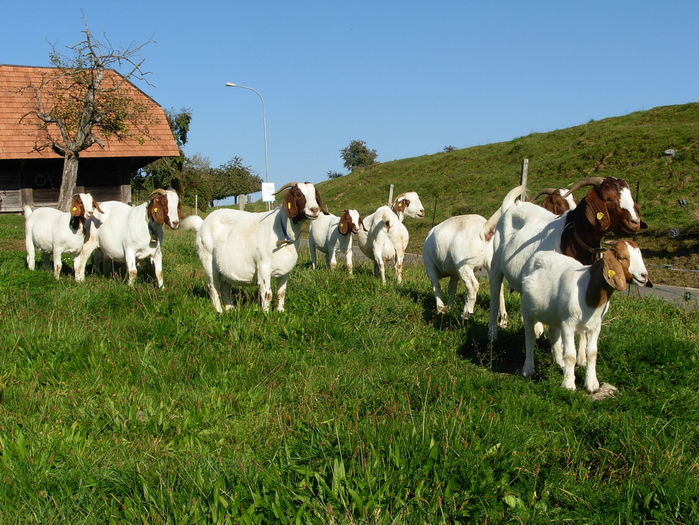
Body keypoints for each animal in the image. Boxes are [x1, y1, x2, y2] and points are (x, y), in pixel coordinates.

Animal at [191, 181, 322, 312]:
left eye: (315, 194)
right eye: (298, 194)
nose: (315, 209)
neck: (283, 231)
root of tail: (202, 224)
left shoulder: (285, 272)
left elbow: (281, 292)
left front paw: (280, 311)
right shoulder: (263, 267)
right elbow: (267, 294)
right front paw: (266, 313)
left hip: (223, 267)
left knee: (225, 286)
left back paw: (230, 309)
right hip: (207, 260)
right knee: (212, 287)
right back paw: (219, 311)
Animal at [422, 186, 524, 318]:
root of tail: (482, 230)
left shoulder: (430, 266)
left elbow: (436, 286)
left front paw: (441, 309)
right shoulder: (454, 272)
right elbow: (451, 288)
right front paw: (449, 307)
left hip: (464, 265)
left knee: (473, 285)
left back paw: (466, 313)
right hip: (490, 263)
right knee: (498, 287)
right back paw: (503, 318)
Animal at [490, 174, 648, 342]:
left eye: (630, 195)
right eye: (608, 198)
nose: (635, 222)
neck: (571, 238)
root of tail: (511, 206)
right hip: (496, 264)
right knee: (495, 295)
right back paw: (493, 334)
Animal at [520, 239, 652, 390]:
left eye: (639, 254)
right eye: (622, 257)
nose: (644, 275)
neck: (588, 291)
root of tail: (540, 253)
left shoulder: (595, 326)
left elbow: (592, 353)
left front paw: (592, 384)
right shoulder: (568, 323)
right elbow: (571, 355)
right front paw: (568, 384)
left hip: (554, 316)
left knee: (554, 335)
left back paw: (559, 363)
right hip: (527, 310)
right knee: (530, 337)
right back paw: (528, 369)